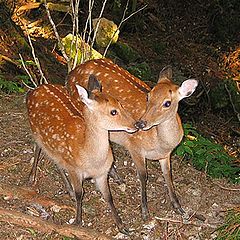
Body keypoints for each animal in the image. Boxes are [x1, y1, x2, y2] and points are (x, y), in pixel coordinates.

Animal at [26, 76, 137, 233]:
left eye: (121, 104)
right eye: (113, 112)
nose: (136, 124)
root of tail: (35, 89)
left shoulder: (102, 174)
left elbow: (108, 196)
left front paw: (122, 226)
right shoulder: (74, 169)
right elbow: (80, 193)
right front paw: (77, 221)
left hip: (55, 148)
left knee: (56, 161)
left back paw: (69, 190)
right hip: (35, 130)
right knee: (37, 149)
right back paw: (31, 178)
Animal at [66, 59, 198, 220]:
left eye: (167, 103)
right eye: (148, 96)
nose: (141, 123)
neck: (160, 144)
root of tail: (71, 73)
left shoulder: (166, 155)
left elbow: (168, 175)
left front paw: (179, 207)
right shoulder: (135, 147)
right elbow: (143, 176)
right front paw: (145, 211)